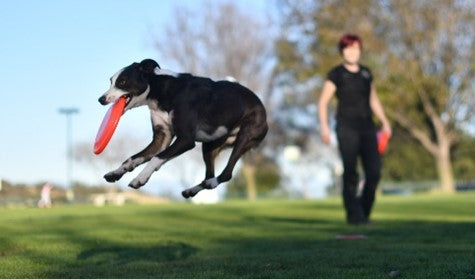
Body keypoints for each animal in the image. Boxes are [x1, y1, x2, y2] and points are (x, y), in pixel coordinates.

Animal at [97, 59, 268, 199]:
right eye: (111, 81)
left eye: (122, 81)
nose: (101, 99)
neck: (163, 90)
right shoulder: (161, 139)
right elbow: (134, 157)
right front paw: (116, 172)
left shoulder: (185, 140)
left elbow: (156, 158)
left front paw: (140, 178)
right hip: (209, 146)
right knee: (208, 174)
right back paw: (192, 190)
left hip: (245, 136)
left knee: (226, 174)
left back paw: (212, 182)